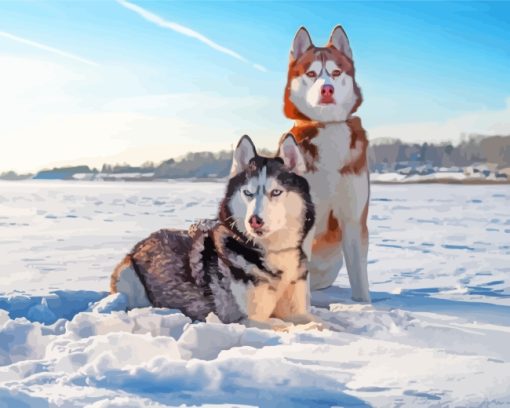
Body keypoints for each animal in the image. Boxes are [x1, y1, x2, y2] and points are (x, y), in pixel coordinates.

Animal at [111, 135, 318, 330]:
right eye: (248, 193)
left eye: (276, 192)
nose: (254, 220)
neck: (272, 251)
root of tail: (141, 243)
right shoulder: (245, 320)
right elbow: (282, 325)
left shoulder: (296, 309)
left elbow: (316, 321)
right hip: (129, 277)